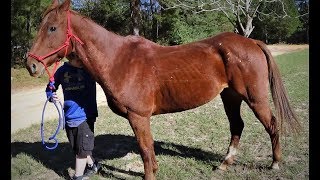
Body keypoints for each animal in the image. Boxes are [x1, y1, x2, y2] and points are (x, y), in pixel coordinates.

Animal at [25, 0, 300, 179]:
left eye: (52, 28)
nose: (30, 65)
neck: (119, 60)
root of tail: (251, 42)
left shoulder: (138, 117)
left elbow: (146, 150)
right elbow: (148, 149)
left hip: (254, 98)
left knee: (271, 124)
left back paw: (275, 163)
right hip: (230, 96)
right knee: (237, 126)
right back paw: (224, 163)